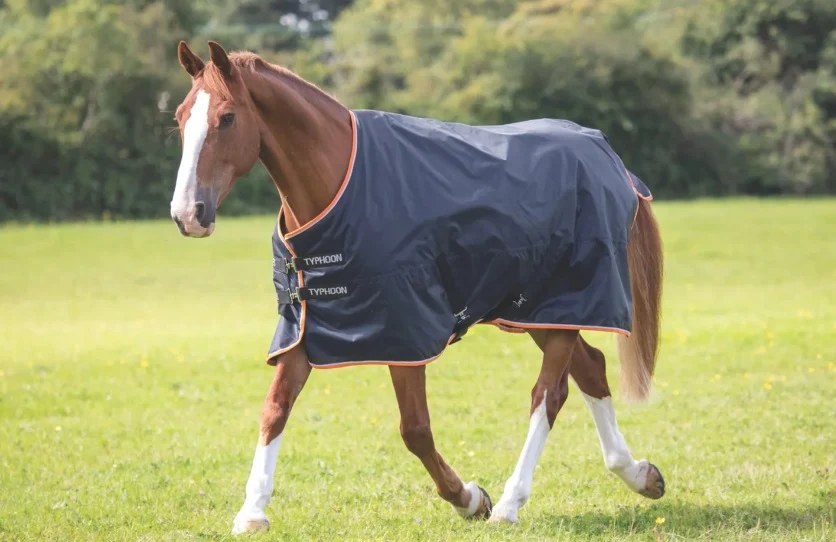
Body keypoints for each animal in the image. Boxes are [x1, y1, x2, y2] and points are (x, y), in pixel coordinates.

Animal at [169, 41, 665, 534]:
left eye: (227, 117)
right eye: (179, 117)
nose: (188, 214)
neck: (342, 187)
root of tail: (608, 157)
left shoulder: (403, 330)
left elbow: (415, 430)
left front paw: (469, 498)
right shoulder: (305, 325)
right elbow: (275, 408)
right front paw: (252, 511)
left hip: (564, 301)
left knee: (549, 395)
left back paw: (509, 504)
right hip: (539, 312)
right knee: (592, 368)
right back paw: (639, 474)